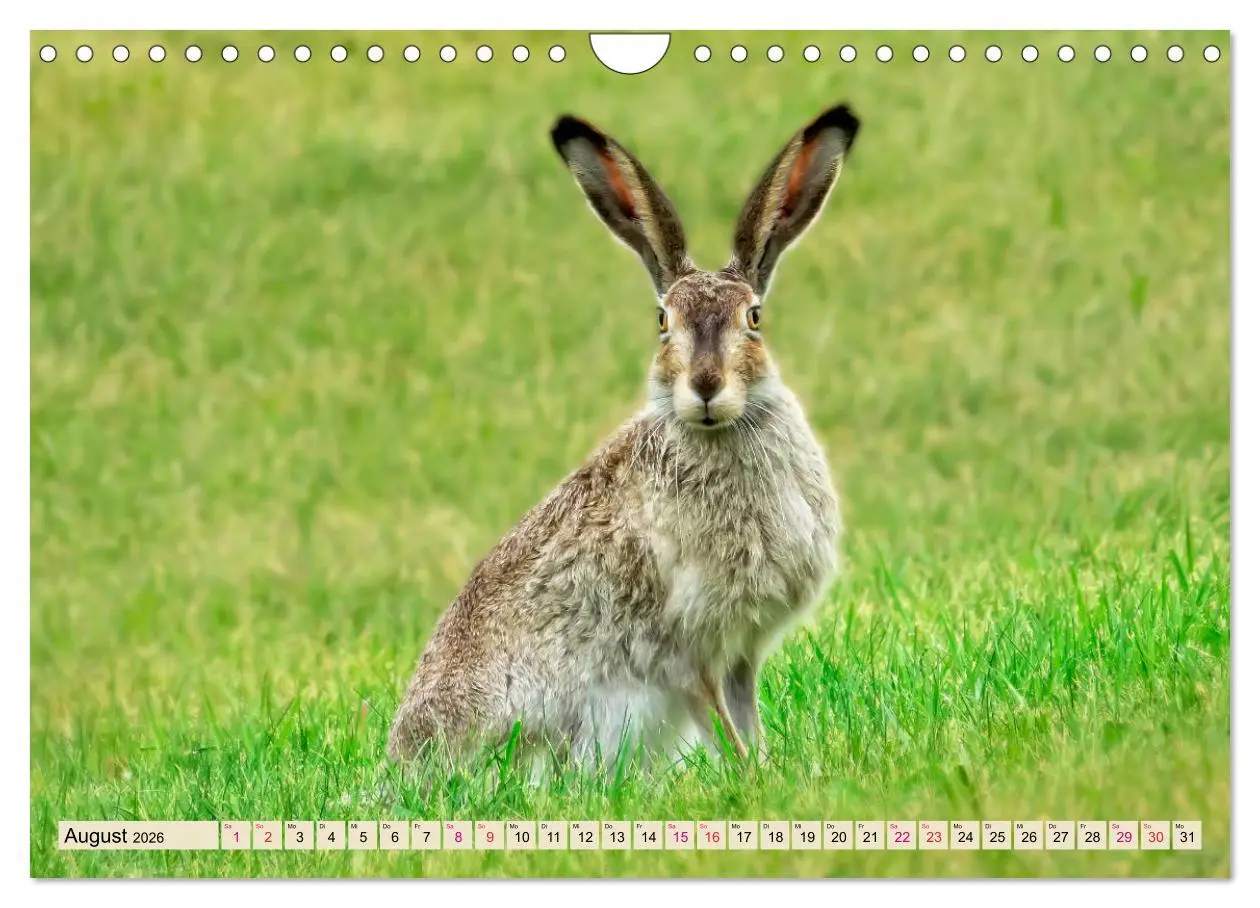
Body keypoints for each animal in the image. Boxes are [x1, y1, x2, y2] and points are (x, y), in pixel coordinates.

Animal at [388, 103, 860, 771]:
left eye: (754, 318)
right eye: (663, 322)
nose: (705, 386)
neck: (718, 431)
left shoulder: (740, 651)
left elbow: (746, 717)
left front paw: (768, 770)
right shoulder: (688, 650)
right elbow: (720, 721)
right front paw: (750, 776)